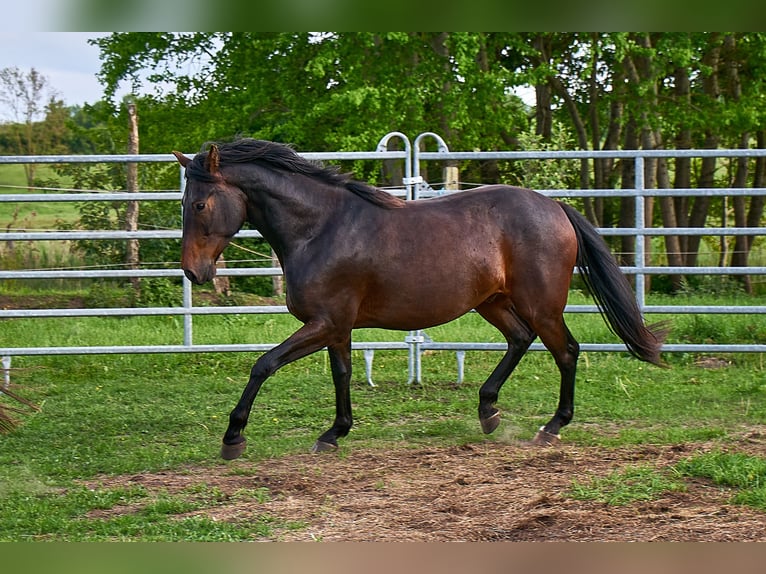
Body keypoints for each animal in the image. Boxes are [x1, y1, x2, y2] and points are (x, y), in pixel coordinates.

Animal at [172, 138, 667, 460]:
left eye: (198, 204)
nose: (194, 272)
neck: (320, 228)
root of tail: (555, 206)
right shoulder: (336, 326)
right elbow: (341, 374)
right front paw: (334, 433)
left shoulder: (324, 323)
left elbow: (264, 364)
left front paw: (233, 437)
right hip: (492, 302)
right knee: (520, 340)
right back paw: (488, 411)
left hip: (541, 305)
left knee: (566, 350)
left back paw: (551, 428)